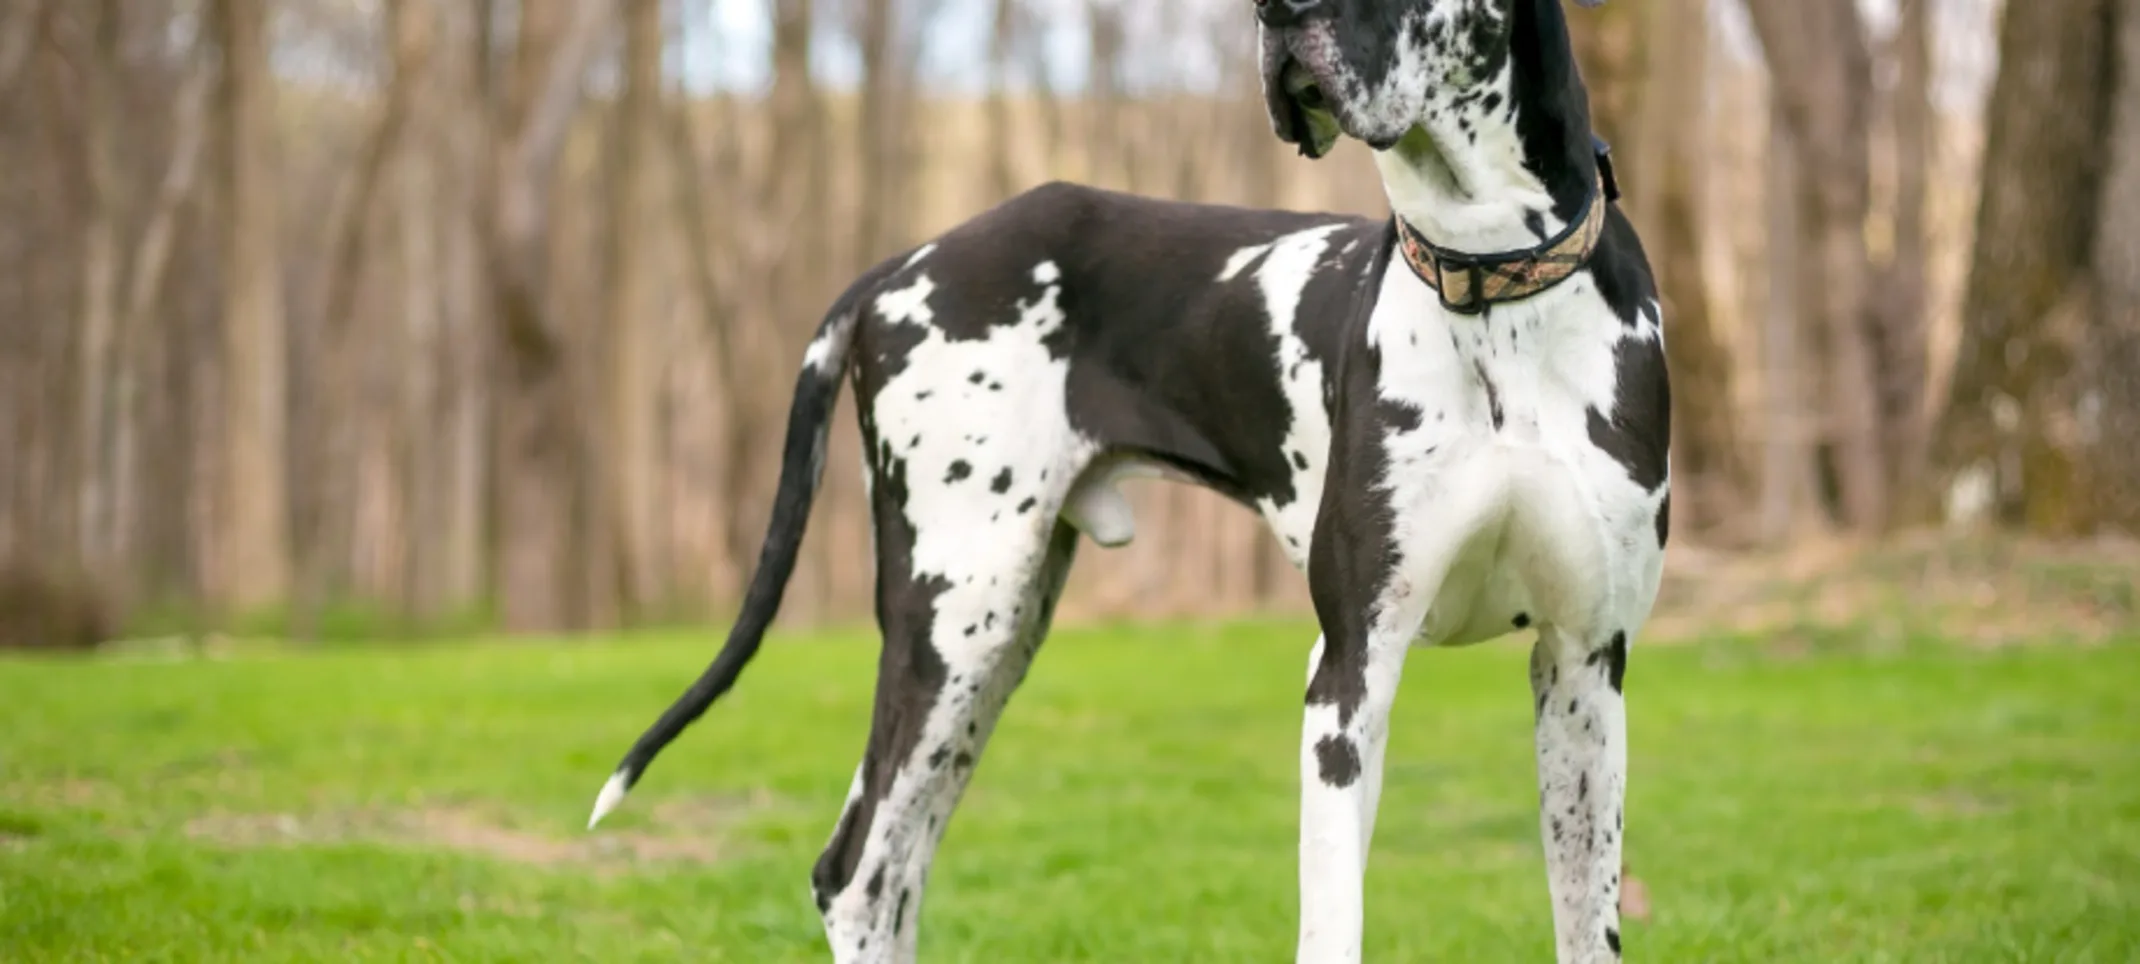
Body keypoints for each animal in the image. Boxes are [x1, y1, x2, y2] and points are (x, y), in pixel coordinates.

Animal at [594, 1, 1660, 955]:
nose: (1277, 11)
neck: (1494, 282)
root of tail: (900, 266)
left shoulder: (1584, 668)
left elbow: (1586, 922)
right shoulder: (1349, 673)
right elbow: (1332, 924)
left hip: (995, 643)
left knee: (896, 874)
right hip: (955, 618)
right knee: (855, 877)